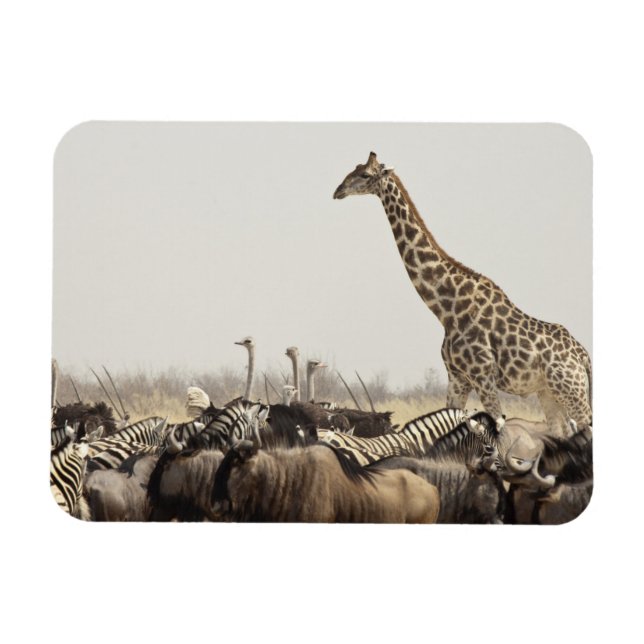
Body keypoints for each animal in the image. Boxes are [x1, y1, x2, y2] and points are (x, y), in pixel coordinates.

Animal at [333, 152, 592, 436]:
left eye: (365, 174)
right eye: (354, 168)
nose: (338, 191)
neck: (447, 309)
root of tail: (583, 356)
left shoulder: (483, 376)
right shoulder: (457, 377)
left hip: (573, 392)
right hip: (548, 393)